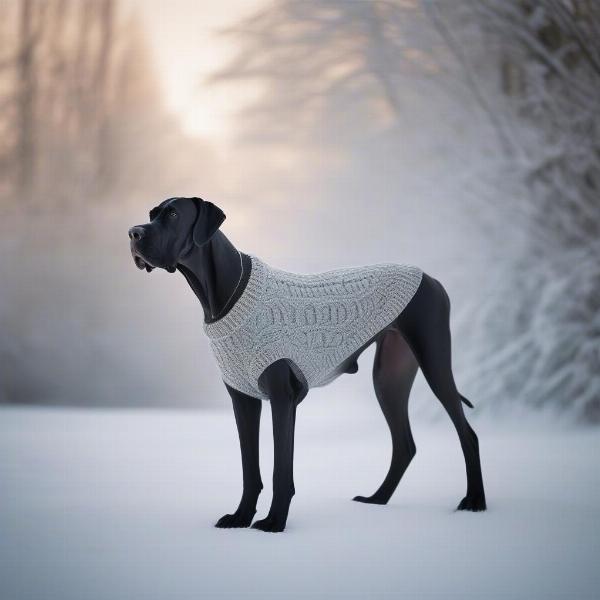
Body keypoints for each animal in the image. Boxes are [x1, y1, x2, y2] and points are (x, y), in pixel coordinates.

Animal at [129, 198, 486, 536]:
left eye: (173, 214)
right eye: (151, 213)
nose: (133, 233)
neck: (226, 295)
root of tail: (431, 278)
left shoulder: (282, 397)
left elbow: (279, 470)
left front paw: (274, 522)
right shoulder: (243, 401)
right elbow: (249, 469)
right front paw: (241, 517)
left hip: (434, 361)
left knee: (467, 434)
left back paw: (475, 502)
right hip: (389, 378)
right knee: (404, 445)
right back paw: (378, 499)